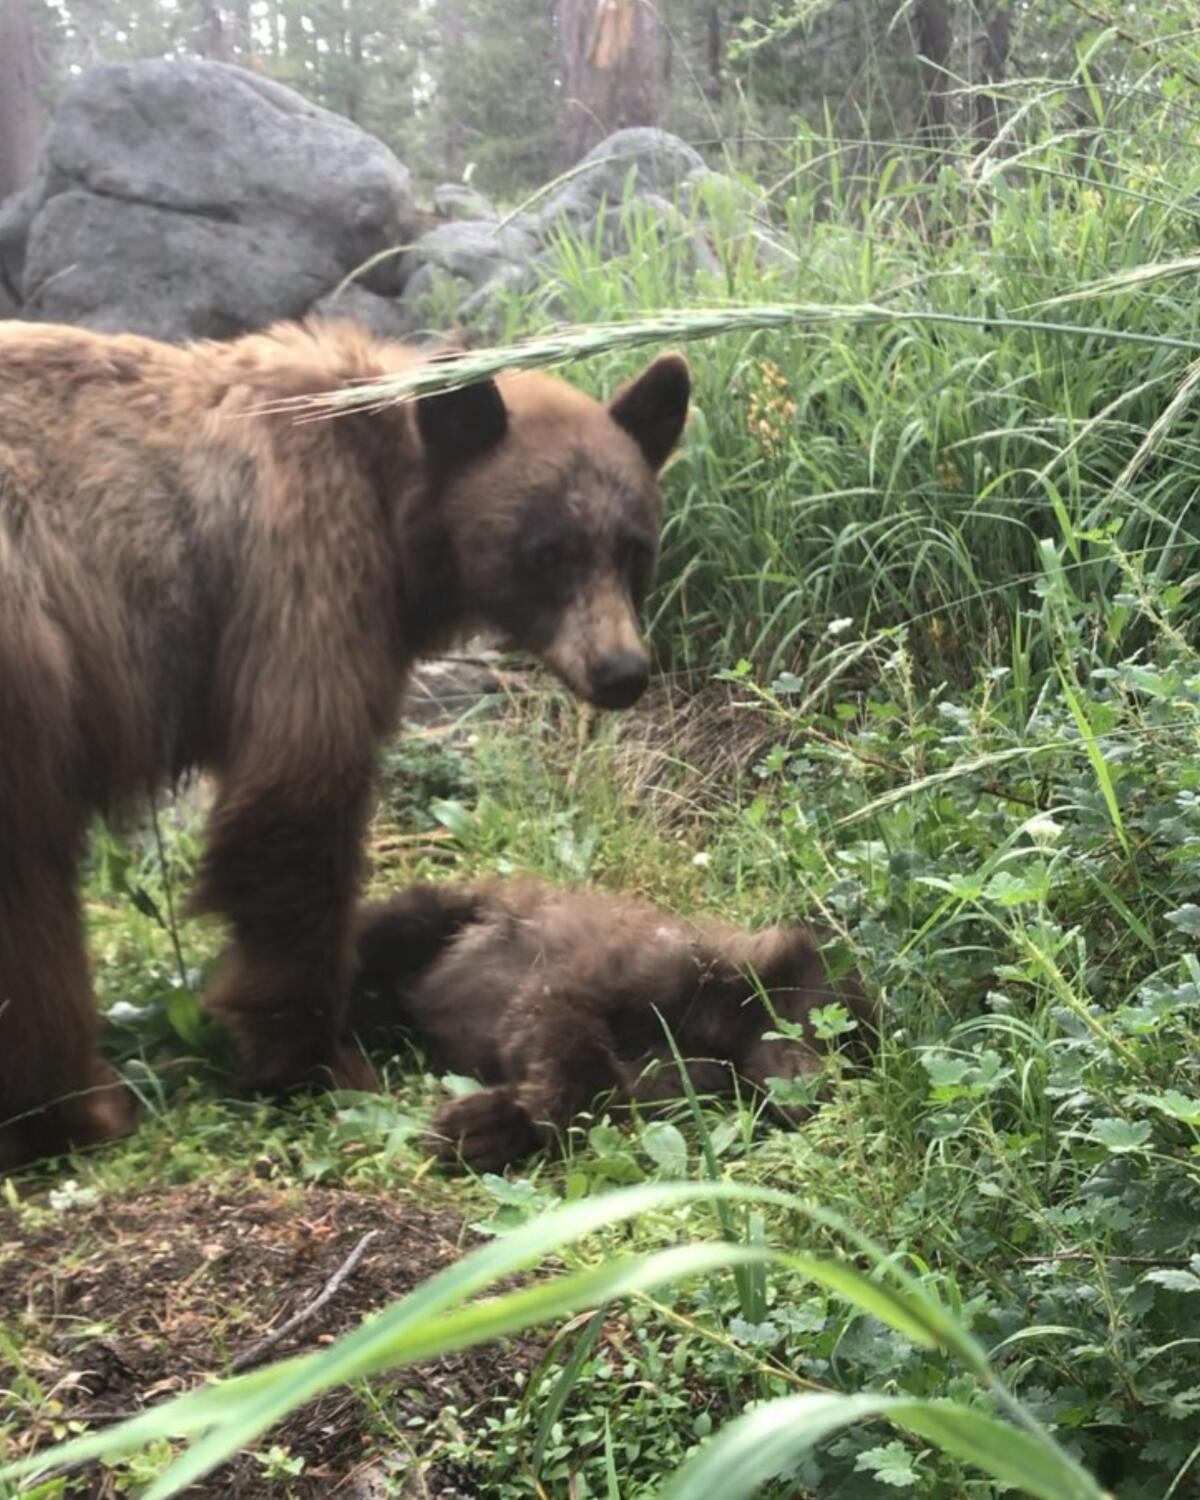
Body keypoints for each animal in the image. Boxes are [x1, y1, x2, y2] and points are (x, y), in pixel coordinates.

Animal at [0, 316, 690, 1164]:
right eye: (548, 551)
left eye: (635, 547)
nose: (621, 672)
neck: (392, 489)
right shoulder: (306, 567)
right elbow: (298, 795)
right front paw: (313, 1058)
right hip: (28, 655)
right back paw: (76, 1110)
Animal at [346, 876, 870, 1170]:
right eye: (837, 1031)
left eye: (860, 1061)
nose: (824, 1095)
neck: (722, 1028)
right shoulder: (637, 968)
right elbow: (557, 1019)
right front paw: (503, 1117)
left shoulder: (684, 1080)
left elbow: (615, 1101)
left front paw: (486, 1128)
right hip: (438, 916)